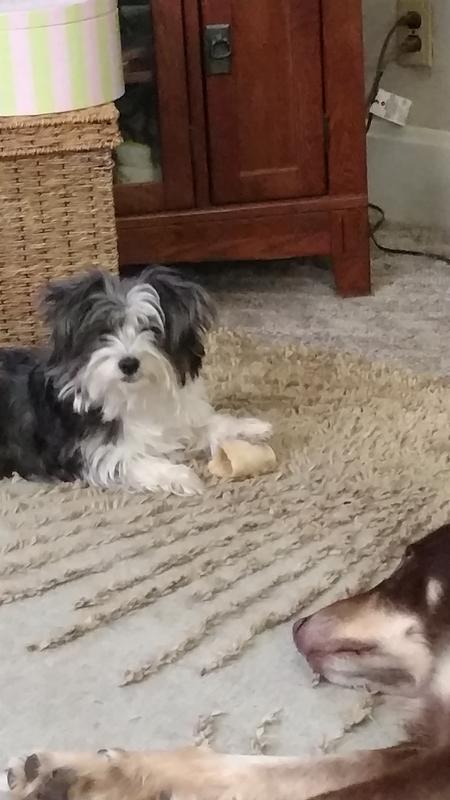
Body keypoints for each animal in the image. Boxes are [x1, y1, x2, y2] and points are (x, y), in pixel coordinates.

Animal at [0, 267, 271, 495]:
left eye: (151, 329)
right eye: (104, 331)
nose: (128, 363)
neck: (133, 395)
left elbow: (206, 424)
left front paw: (253, 427)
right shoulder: (90, 453)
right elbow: (134, 460)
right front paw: (183, 477)